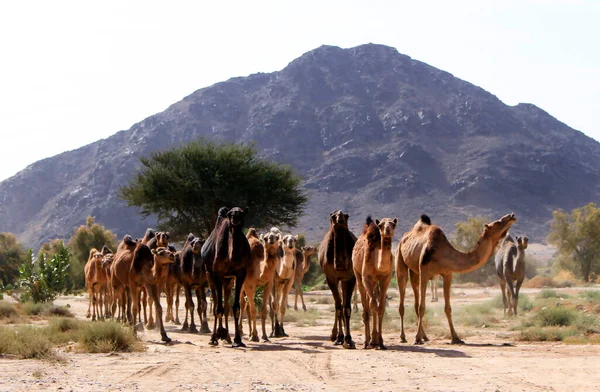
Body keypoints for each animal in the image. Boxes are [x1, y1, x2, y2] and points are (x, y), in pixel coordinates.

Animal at [200, 207, 250, 348]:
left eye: (241, 213)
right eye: (230, 214)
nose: (235, 219)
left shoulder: (240, 274)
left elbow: (236, 307)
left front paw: (237, 340)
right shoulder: (217, 273)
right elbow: (218, 307)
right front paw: (215, 337)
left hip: (227, 280)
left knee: (226, 306)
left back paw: (226, 336)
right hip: (209, 275)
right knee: (217, 304)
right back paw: (215, 336)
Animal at [318, 210, 356, 348]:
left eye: (347, 216)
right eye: (332, 216)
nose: (339, 217)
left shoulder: (350, 278)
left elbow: (347, 308)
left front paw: (348, 340)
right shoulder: (331, 278)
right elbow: (339, 307)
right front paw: (339, 338)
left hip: (343, 280)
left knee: (342, 303)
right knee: (337, 304)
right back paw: (334, 336)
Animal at [354, 217, 396, 350]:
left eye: (393, 224)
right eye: (381, 225)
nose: (387, 230)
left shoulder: (386, 278)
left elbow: (381, 307)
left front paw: (381, 342)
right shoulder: (366, 278)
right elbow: (372, 306)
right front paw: (372, 341)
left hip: (374, 283)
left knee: (372, 304)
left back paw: (374, 340)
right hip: (358, 276)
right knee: (366, 308)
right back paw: (367, 341)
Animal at [394, 213, 516, 344]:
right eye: (497, 222)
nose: (511, 216)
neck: (442, 253)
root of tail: (404, 239)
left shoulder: (447, 274)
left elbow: (448, 308)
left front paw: (456, 338)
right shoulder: (424, 272)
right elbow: (422, 307)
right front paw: (416, 339)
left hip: (414, 271)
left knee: (415, 300)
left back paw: (425, 336)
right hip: (400, 260)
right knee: (403, 297)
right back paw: (403, 337)